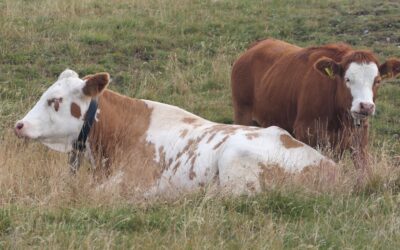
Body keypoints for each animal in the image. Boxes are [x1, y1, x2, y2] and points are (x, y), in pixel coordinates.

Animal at [231, 38, 400, 173]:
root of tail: (258, 45)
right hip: (242, 114)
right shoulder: (307, 133)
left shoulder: (359, 140)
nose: (365, 106)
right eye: (347, 79)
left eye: (377, 81)